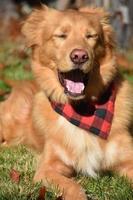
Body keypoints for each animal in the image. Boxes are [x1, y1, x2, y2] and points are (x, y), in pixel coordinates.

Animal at [0, 5, 133, 199]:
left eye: (91, 36)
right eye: (61, 35)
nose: (79, 56)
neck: (82, 109)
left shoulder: (128, 160)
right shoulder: (47, 169)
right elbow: (73, 186)